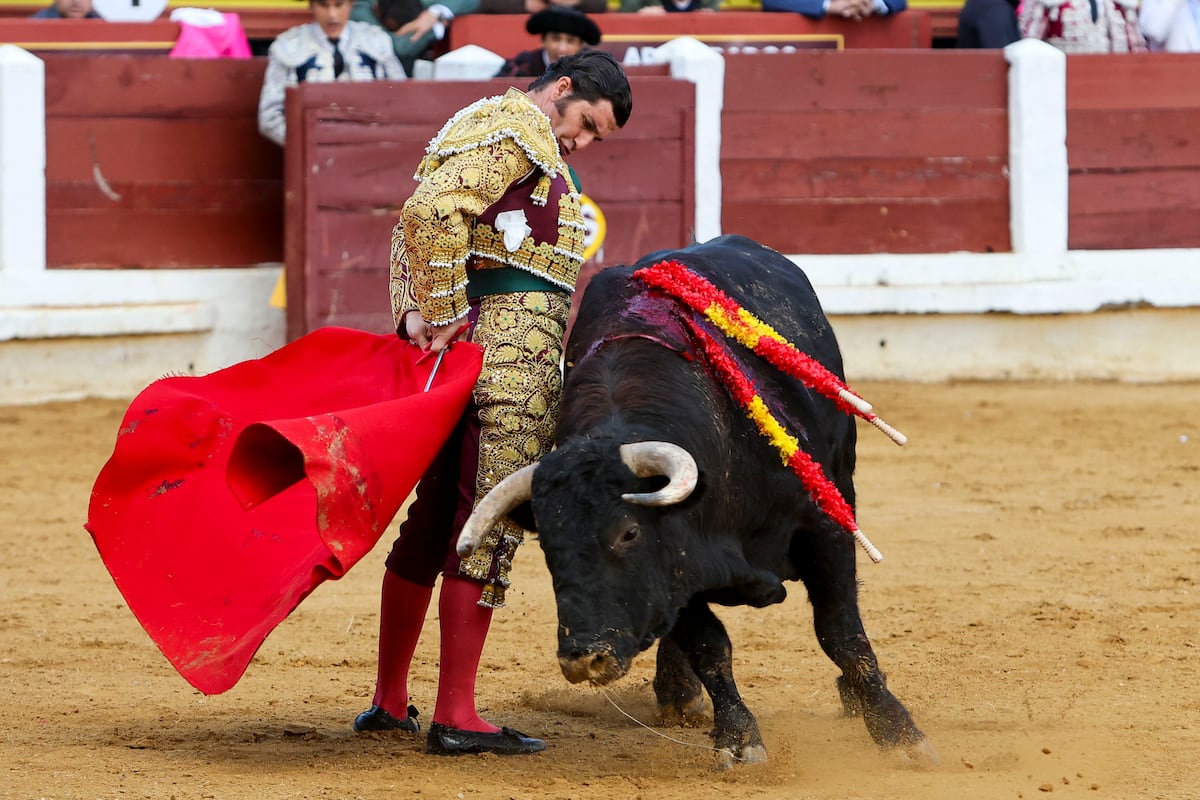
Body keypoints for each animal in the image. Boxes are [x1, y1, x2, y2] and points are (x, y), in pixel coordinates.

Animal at [458, 235, 936, 767]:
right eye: (548, 547)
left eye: (629, 531)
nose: (585, 659)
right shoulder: (677, 563)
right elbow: (709, 646)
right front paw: (739, 738)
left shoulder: (824, 531)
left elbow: (841, 632)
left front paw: (898, 732)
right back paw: (677, 692)